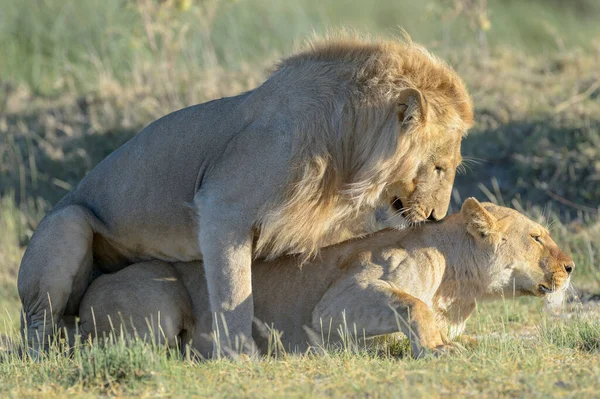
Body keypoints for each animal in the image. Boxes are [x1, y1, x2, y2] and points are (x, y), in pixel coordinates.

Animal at [17, 32, 474, 354]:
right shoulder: (222, 208)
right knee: (37, 327)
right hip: (67, 222)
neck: (346, 150)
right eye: (438, 167)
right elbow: (234, 292)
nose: (437, 216)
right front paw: (240, 357)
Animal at [79, 200, 572, 360]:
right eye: (536, 236)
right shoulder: (337, 304)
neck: (459, 285)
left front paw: (459, 341)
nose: (570, 267)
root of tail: (82, 299)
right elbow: (412, 304)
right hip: (160, 302)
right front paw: (438, 347)